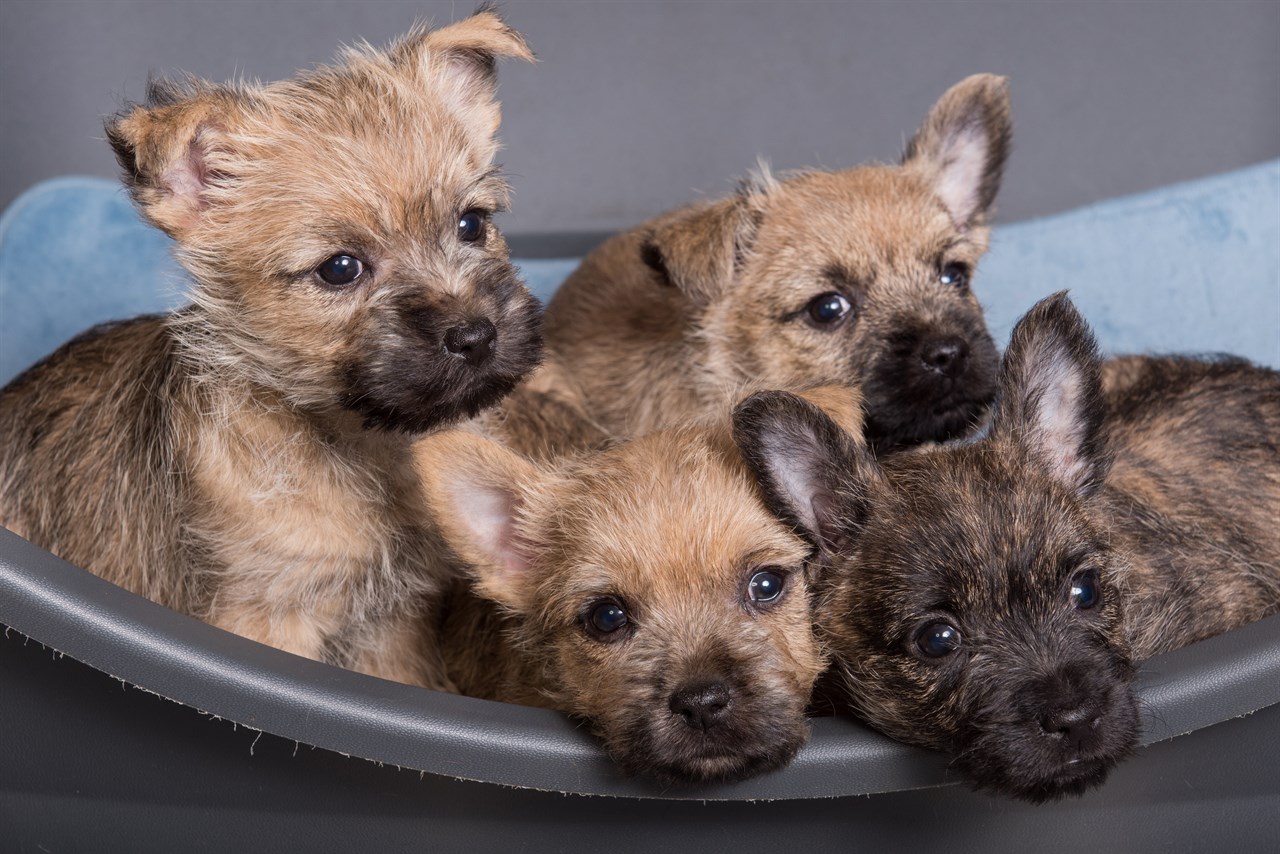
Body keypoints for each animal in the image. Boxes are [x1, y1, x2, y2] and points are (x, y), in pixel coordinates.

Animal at [0, 11, 537, 686]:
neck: (361, 447)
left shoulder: (393, 629)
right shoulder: (270, 619)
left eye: (472, 224)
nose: (476, 335)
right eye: (339, 269)